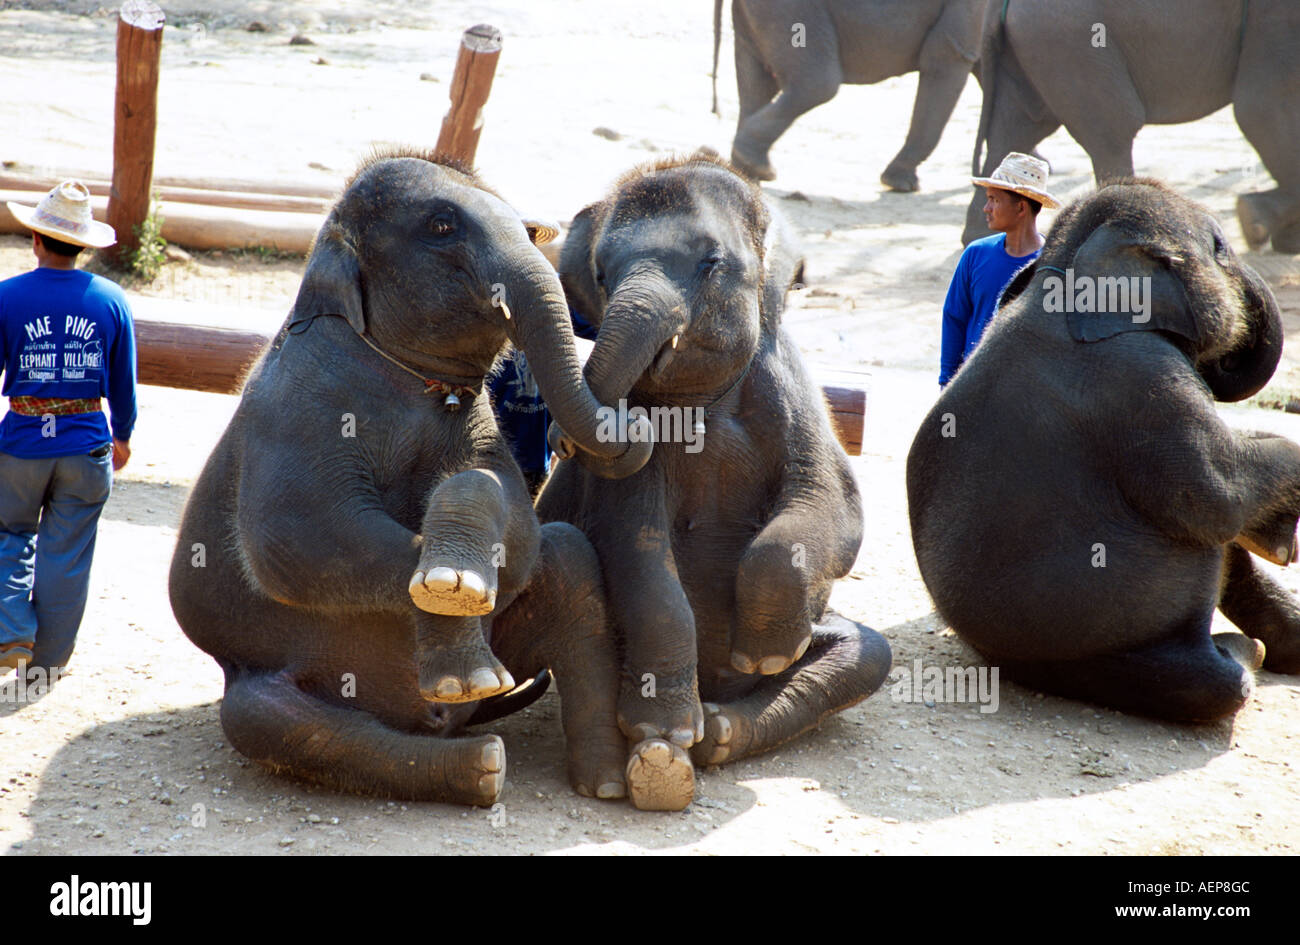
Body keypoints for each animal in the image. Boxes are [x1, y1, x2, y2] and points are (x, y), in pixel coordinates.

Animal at [168, 150, 654, 806]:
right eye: (441, 226)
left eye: (530, 233)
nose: (636, 424)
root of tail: (438, 722)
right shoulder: (293, 410)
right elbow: (297, 542)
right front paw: (453, 600)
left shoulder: (478, 421)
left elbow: (516, 523)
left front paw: (457, 577)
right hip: (260, 680)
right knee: (267, 720)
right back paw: (483, 763)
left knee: (567, 561)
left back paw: (603, 783)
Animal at [539, 151, 893, 810]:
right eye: (600, 274)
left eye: (711, 263)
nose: (561, 442)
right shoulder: (630, 475)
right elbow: (634, 543)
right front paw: (664, 727)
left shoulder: (793, 397)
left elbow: (835, 505)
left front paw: (767, 653)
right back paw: (660, 761)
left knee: (867, 653)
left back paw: (719, 733)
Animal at [713, 0, 986, 190]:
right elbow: (947, 58)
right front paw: (902, 185)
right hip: (790, 12)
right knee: (817, 85)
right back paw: (757, 168)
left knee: (756, 85)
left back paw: (747, 176)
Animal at [909, 178, 1300, 722]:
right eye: (1220, 247)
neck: (1066, 269)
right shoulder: (1143, 373)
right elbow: (1217, 495)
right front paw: (1281, 541)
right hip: (1110, 656)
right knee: (1216, 681)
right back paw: (1249, 653)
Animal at [963, 0, 1300, 251]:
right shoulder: (1273, 19)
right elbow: (1260, 109)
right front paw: (1257, 225)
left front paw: (1282, 240)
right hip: (1074, 47)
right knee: (1113, 132)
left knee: (1017, 129)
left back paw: (981, 239)